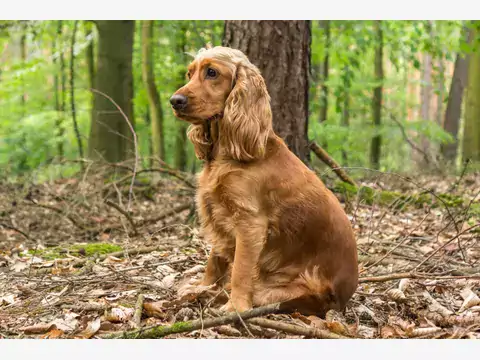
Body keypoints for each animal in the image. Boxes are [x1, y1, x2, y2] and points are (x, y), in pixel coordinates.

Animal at [171, 45, 358, 316]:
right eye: (189, 73)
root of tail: (343, 299)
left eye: (212, 72)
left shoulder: (250, 222)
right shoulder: (218, 211)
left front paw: (235, 306)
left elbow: (240, 270)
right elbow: (214, 260)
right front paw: (202, 286)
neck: (228, 151)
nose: (175, 101)